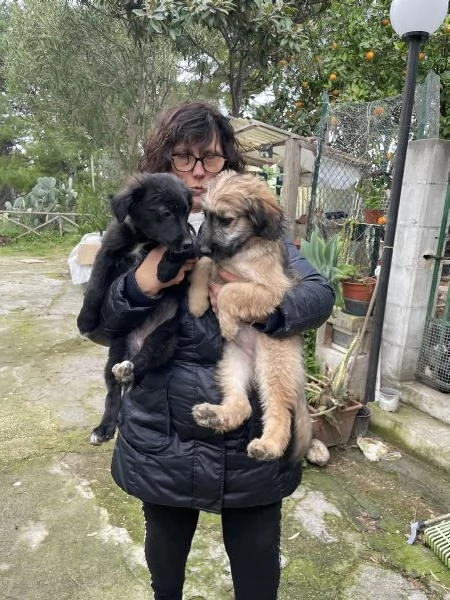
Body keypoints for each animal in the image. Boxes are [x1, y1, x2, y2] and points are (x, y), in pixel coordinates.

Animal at [77, 171, 197, 442]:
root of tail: (136, 345)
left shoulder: (194, 248)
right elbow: (95, 286)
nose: (185, 242)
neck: (144, 239)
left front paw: (164, 269)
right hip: (116, 350)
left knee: (146, 357)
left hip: (164, 339)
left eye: (186, 212)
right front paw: (85, 319)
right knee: (113, 392)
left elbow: (176, 253)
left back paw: (130, 369)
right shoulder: (107, 253)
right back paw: (104, 428)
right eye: (165, 212)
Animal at [188, 171, 312, 462]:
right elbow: (204, 266)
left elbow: (229, 291)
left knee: (280, 412)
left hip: (273, 364)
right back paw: (214, 415)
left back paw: (269, 446)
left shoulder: (271, 291)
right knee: (242, 405)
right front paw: (197, 302)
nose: (202, 247)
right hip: (232, 363)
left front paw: (227, 324)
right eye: (205, 216)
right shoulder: (218, 263)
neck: (243, 250)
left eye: (225, 220)